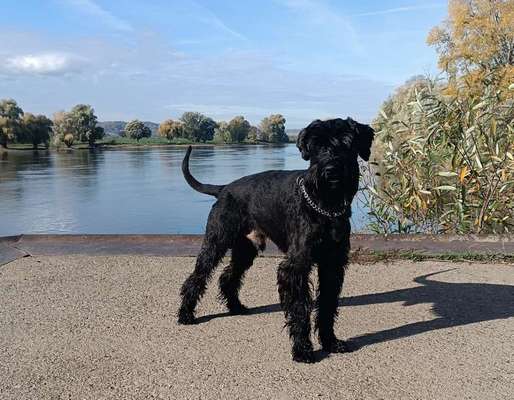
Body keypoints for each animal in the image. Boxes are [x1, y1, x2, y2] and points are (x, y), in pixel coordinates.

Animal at [176, 118, 372, 362]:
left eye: (347, 142)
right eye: (316, 145)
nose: (331, 170)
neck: (325, 207)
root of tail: (223, 189)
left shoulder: (332, 264)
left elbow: (327, 304)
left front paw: (330, 342)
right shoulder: (295, 267)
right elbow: (300, 308)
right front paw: (303, 349)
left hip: (245, 249)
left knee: (228, 276)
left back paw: (236, 307)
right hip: (215, 242)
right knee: (197, 276)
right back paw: (186, 314)